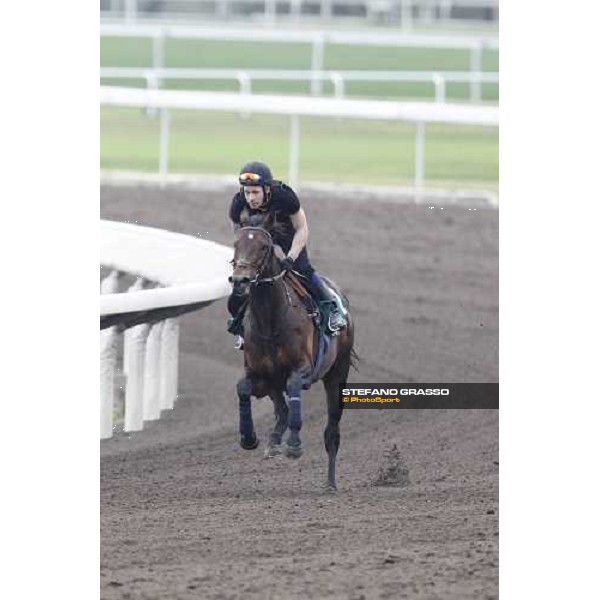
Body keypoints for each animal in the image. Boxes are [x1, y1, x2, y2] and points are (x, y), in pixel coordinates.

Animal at [230, 213, 356, 490]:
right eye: (236, 243)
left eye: (264, 247)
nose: (240, 280)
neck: (270, 320)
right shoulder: (261, 375)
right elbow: (243, 388)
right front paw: (250, 438)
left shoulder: (304, 369)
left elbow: (295, 388)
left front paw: (294, 445)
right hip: (275, 382)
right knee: (282, 409)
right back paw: (274, 441)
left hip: (337, 372)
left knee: (332, 432)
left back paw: (330, 483)